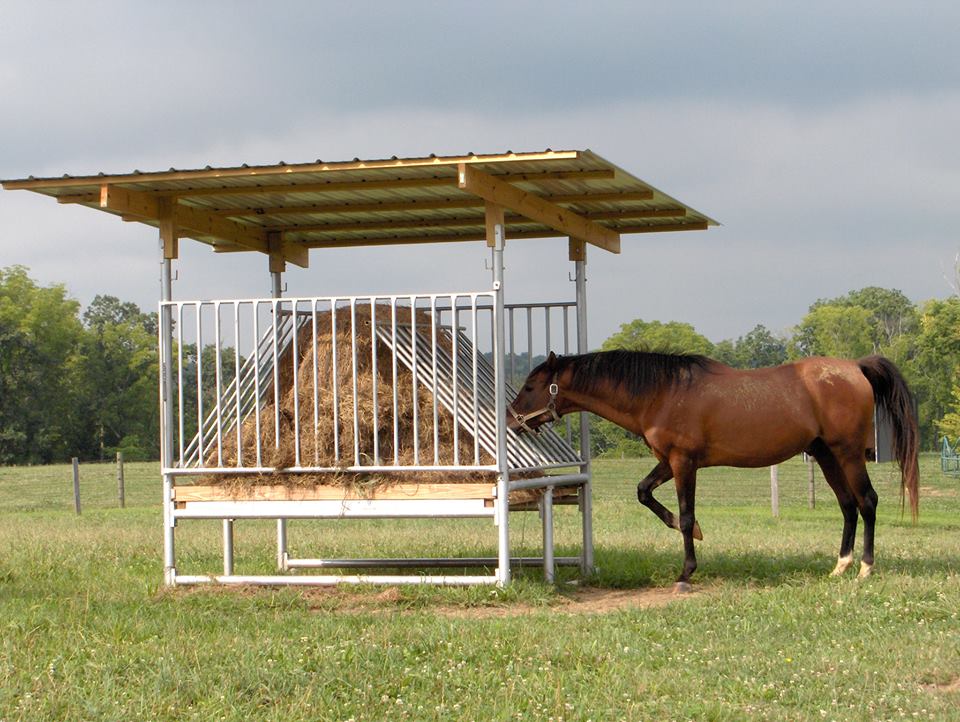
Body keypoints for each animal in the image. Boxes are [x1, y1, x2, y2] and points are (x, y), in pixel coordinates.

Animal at [506, 348, 920, 592]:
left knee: (867, 502)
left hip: (847, 453)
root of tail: (855, 367)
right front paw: (690, 532)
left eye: (530, 385)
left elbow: (687, 514)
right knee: (848, 505)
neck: (662, 393)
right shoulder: (667, 461)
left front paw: (685, 572)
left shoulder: (683, 462)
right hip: (825, 454)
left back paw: (865, 568)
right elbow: (644, 492)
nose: (510, 420)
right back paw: (840, 566)